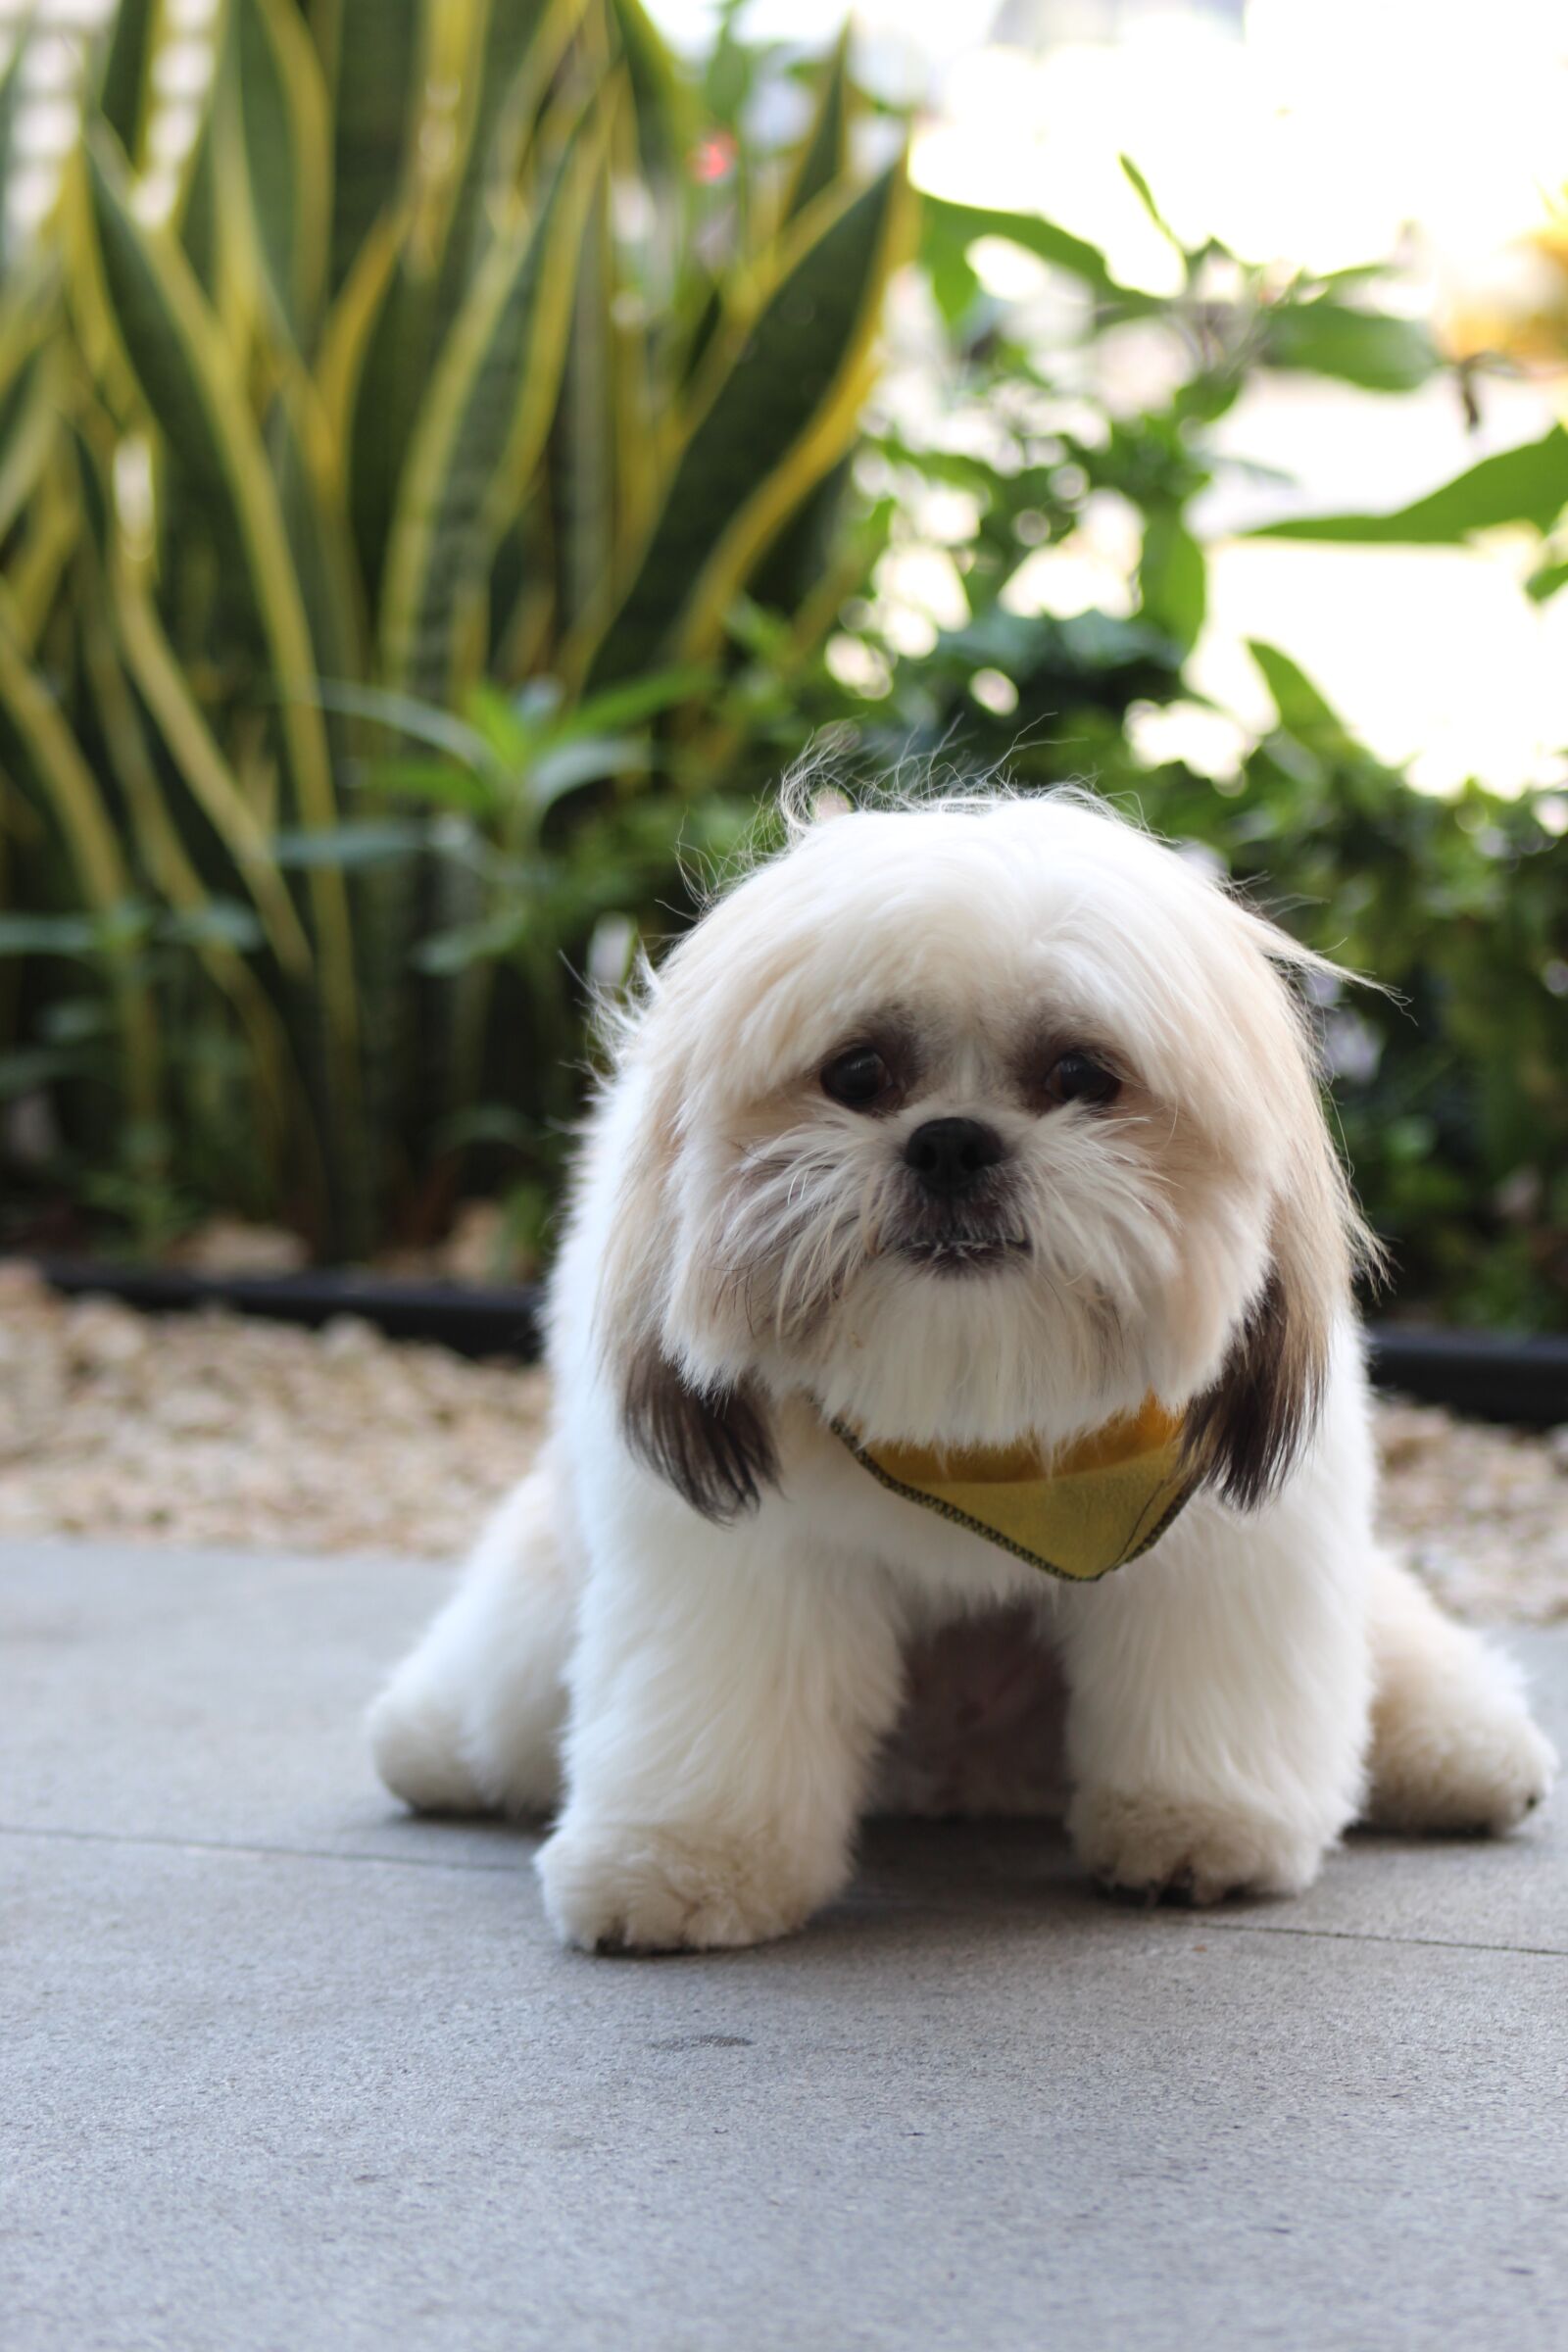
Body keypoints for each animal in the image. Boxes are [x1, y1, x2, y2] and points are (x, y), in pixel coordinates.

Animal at [368, 790, 1560, 1947]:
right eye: (857, 1073)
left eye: (1081, 1074)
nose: (949, 1139)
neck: (973, 1415)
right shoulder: (744, 1562)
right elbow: (725, 1709)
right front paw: (682, 1863)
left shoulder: (1213, 1544)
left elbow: (1203, 1692)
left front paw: (1199, 1828)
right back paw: (428, 1745)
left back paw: (1466, 1756)